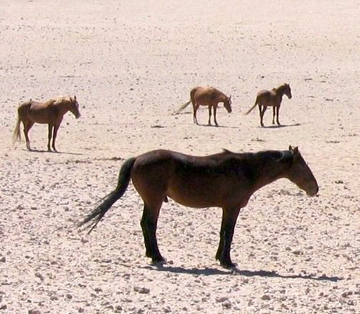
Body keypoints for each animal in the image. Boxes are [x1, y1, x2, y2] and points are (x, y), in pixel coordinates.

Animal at [79, 146, 318, 268]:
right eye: (303, 166)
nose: (315, 188)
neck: (246, 169)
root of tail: (138, 158)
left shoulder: (226, 209)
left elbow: (222, 233)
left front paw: (219, 258)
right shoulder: (232, 208)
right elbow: (229, 233)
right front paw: (227, 261)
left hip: (151, 201)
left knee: (144, 224)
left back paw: (151, 254)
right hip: (154, 201)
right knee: (149, 225)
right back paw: (157, 256)